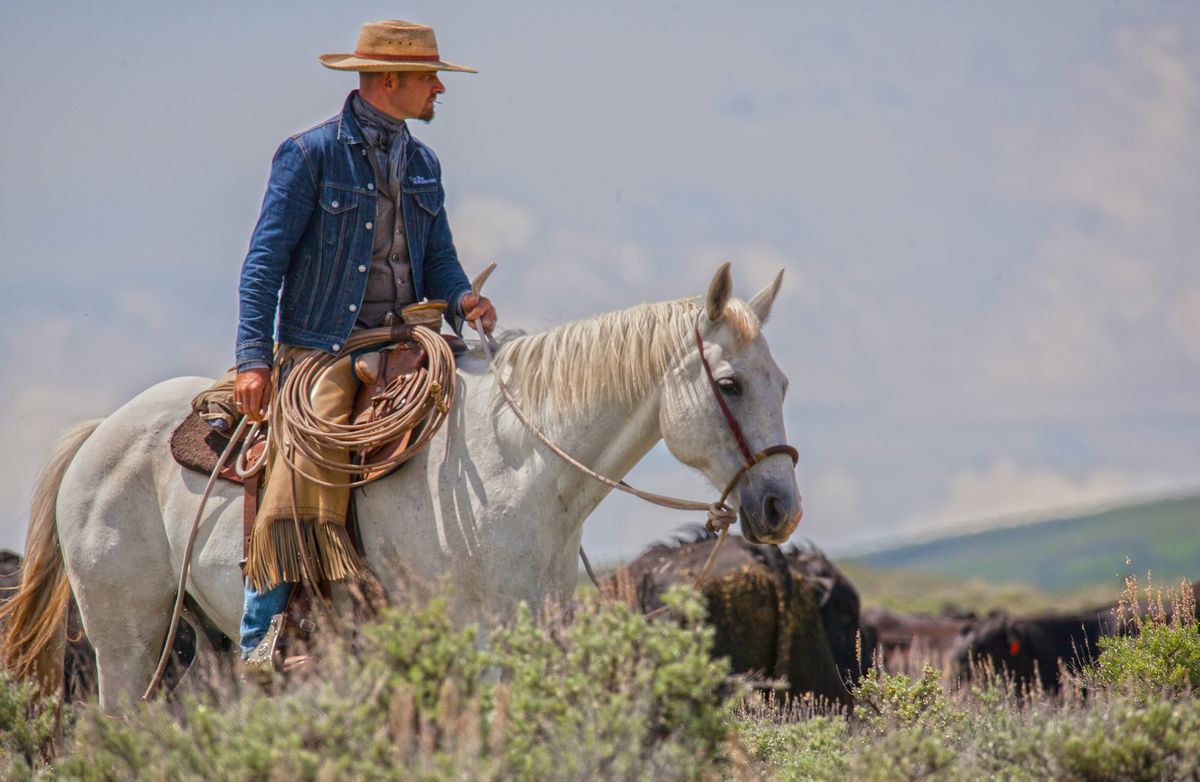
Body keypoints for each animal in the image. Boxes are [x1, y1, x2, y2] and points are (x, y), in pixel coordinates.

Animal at [4, 266, 806, 710]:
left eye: (784, 381)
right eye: (729, 383)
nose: (780, 508)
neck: (521, 469)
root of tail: (101, 435)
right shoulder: (475, 641)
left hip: (202, 644)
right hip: (126, 640)